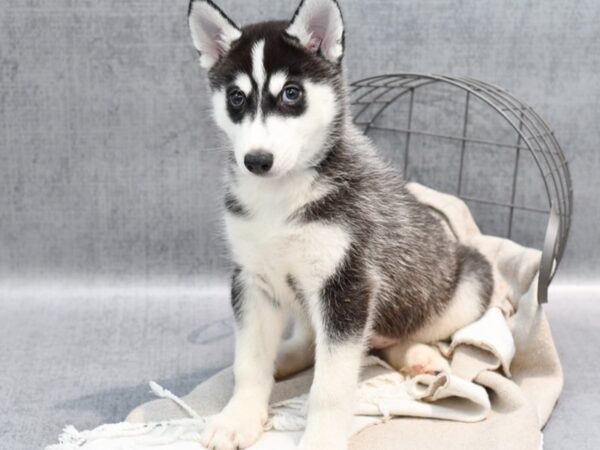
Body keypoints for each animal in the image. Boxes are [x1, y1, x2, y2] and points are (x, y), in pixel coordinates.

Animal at [188, 1, 492, 448]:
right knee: (319, 338)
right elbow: (249, 362)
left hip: (468, 286)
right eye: (236, 97)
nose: (257, 161)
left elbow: (330, 387)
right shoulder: (252, 281)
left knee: (396, 336)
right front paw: (239, 417)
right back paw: (289, 356)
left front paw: (320, 438)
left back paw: (418, 356)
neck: (281, 199)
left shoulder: (348, 285)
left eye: (292, 93)